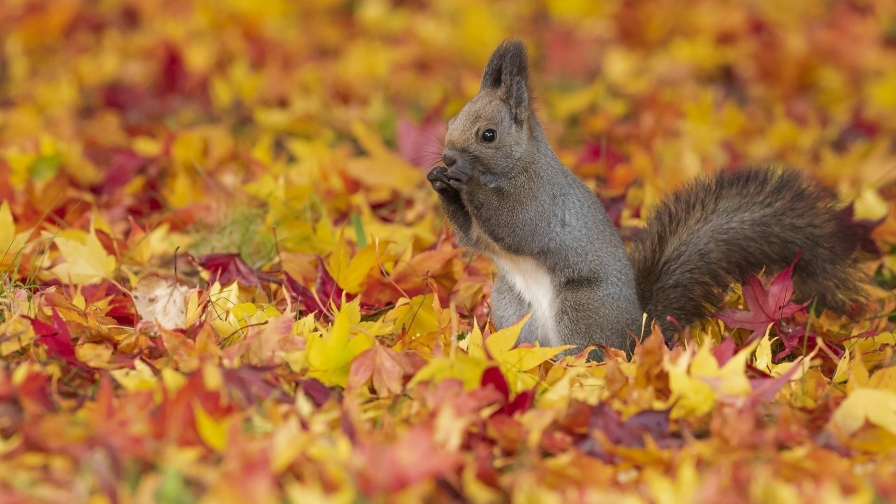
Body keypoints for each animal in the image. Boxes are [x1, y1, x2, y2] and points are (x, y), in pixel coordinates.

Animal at [427, 40, 868, 356]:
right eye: (450, 122)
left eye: (488, 135)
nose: (447, 158)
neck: (517, 167)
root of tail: (638, 333)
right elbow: (472, 237)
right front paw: (439, 181)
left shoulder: (539, 201)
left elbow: (513, 225)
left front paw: (463, 180)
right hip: (510, 306)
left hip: (581, 308)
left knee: (589, 354)